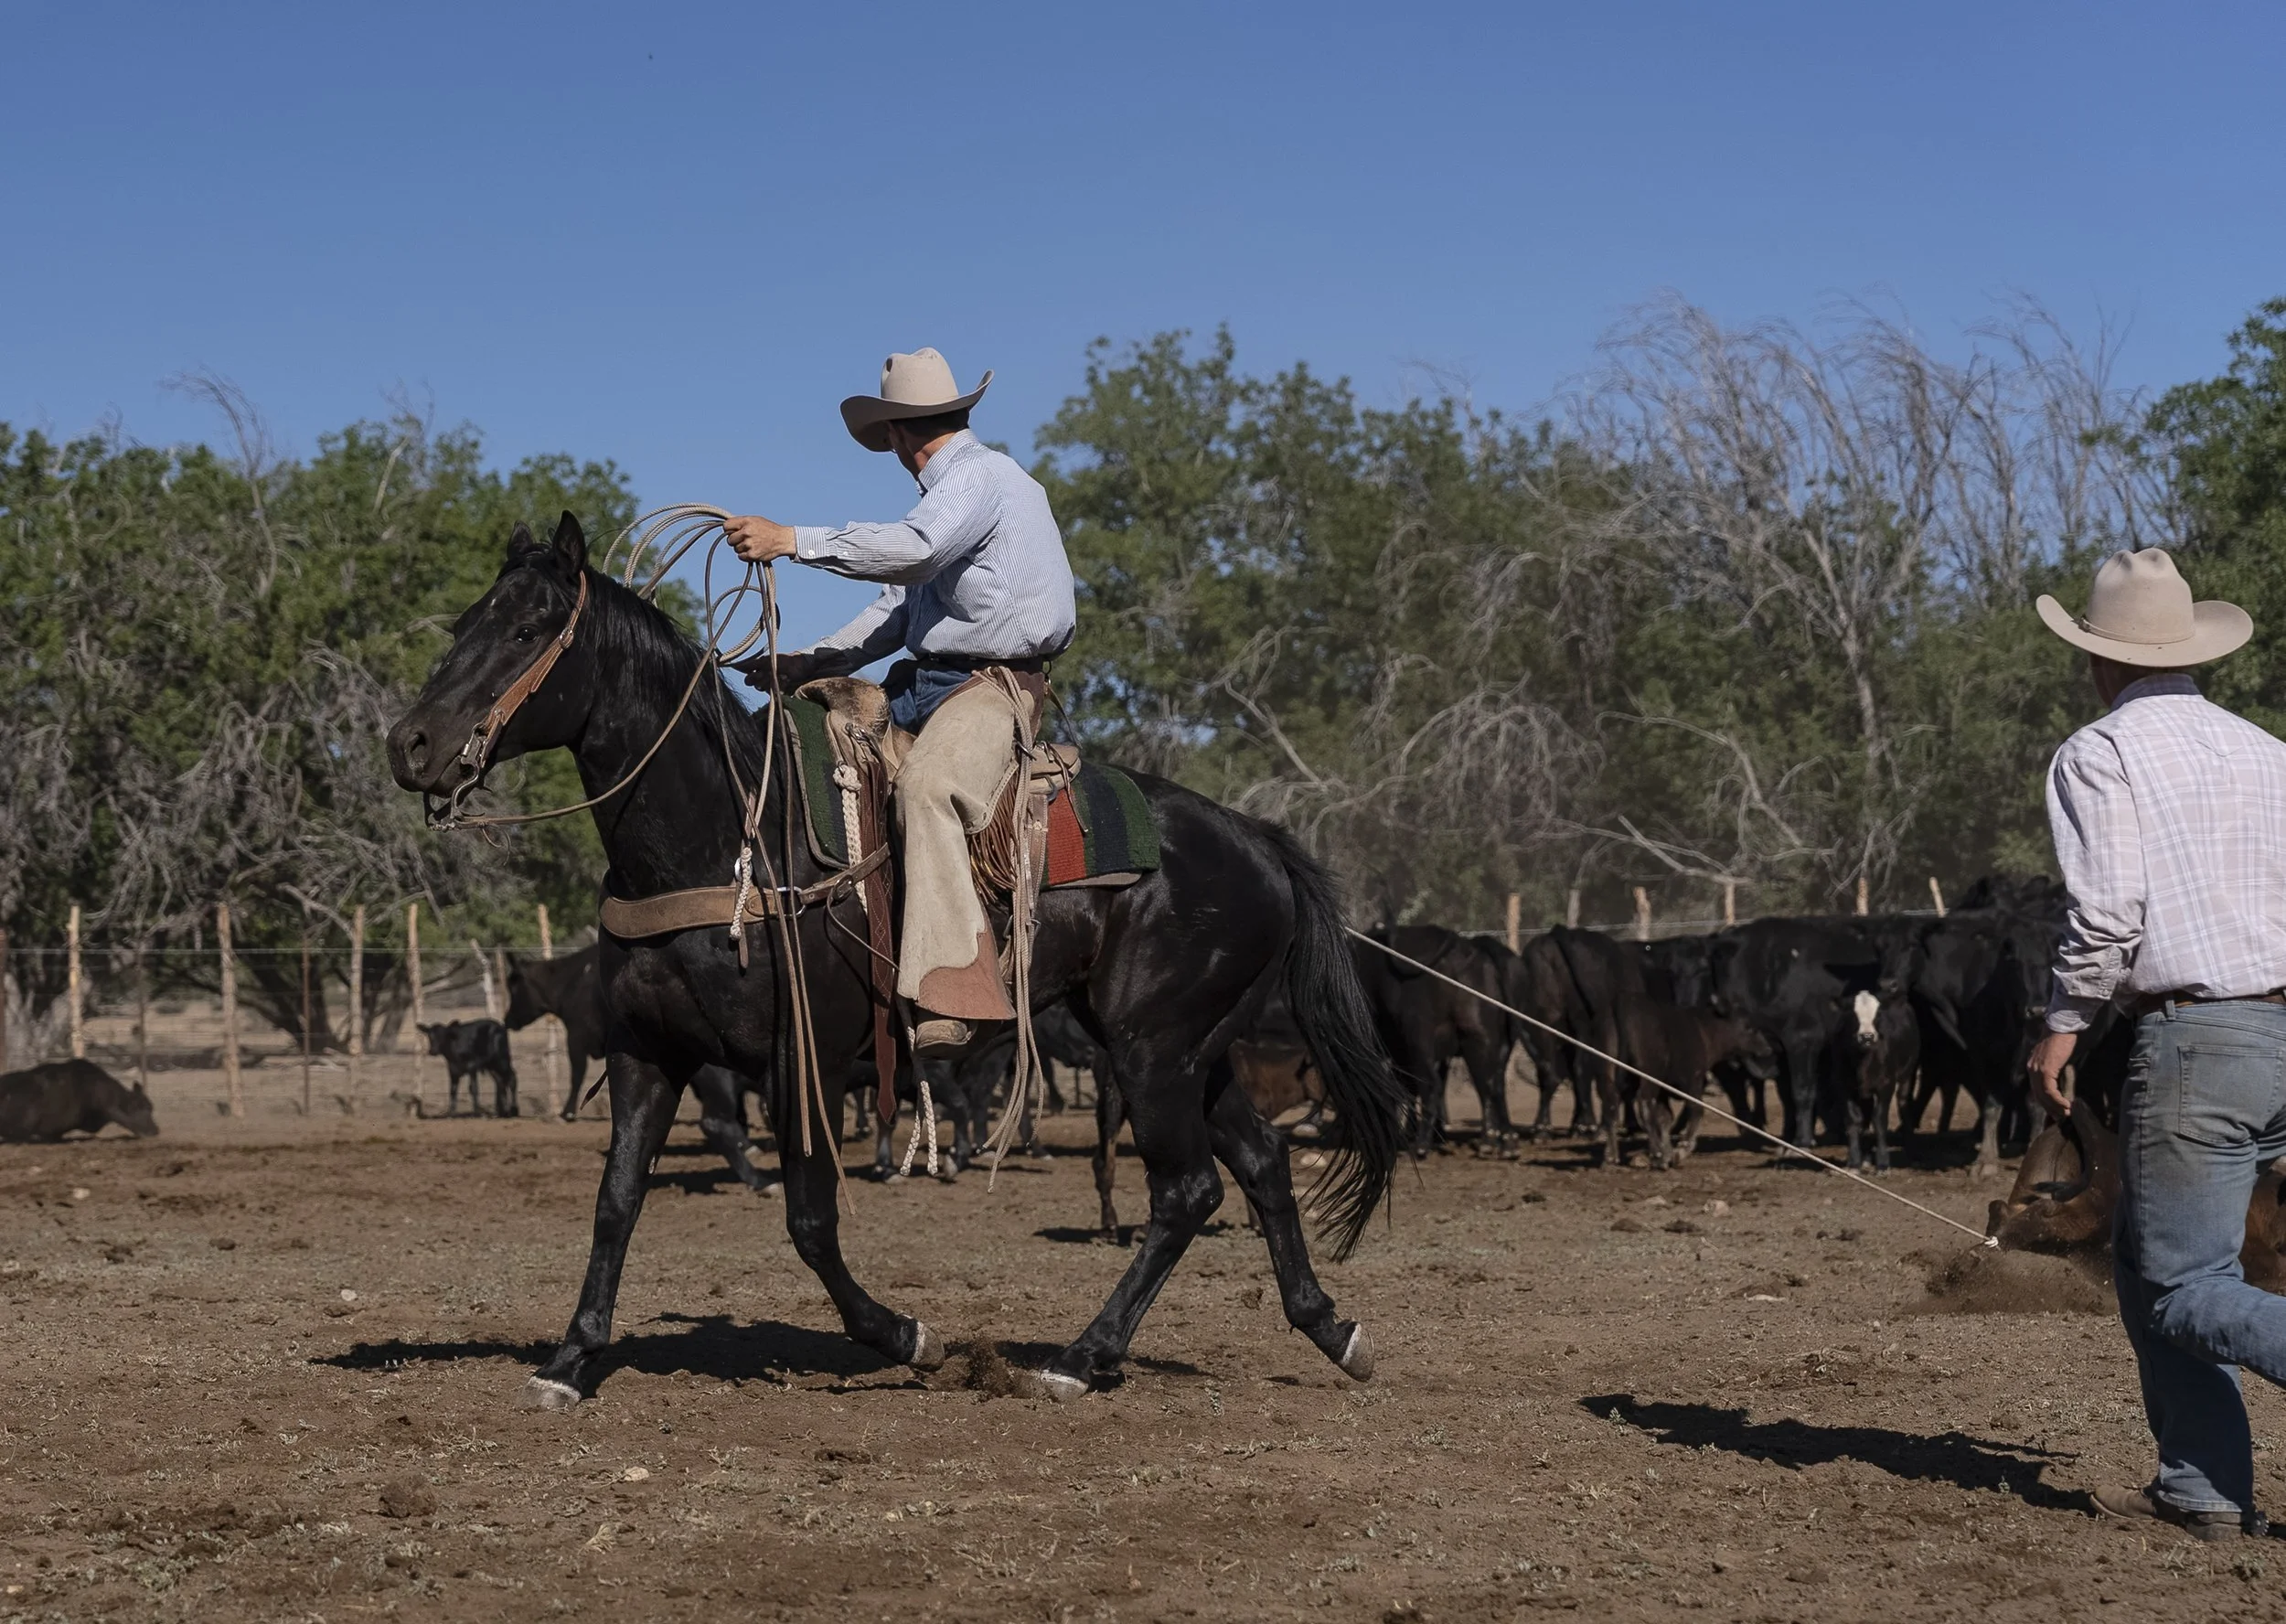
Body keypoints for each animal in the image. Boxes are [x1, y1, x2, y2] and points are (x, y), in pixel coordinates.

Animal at [385, 514, 1405, 1407]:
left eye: (527, 629)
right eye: (466, 622)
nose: (412, 746)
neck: (725, 837)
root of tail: (1256, 838)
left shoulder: (796, 1067)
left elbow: (808, 1223)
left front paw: (905, 1336)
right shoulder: (647, 1056)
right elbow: (616, 1202)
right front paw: (570, 1359)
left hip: (1155, 1053)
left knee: (1187, 1190)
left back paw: (1080, 1358)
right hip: (1187, 1052)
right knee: (1261, 1163)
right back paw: (1330, 1329)